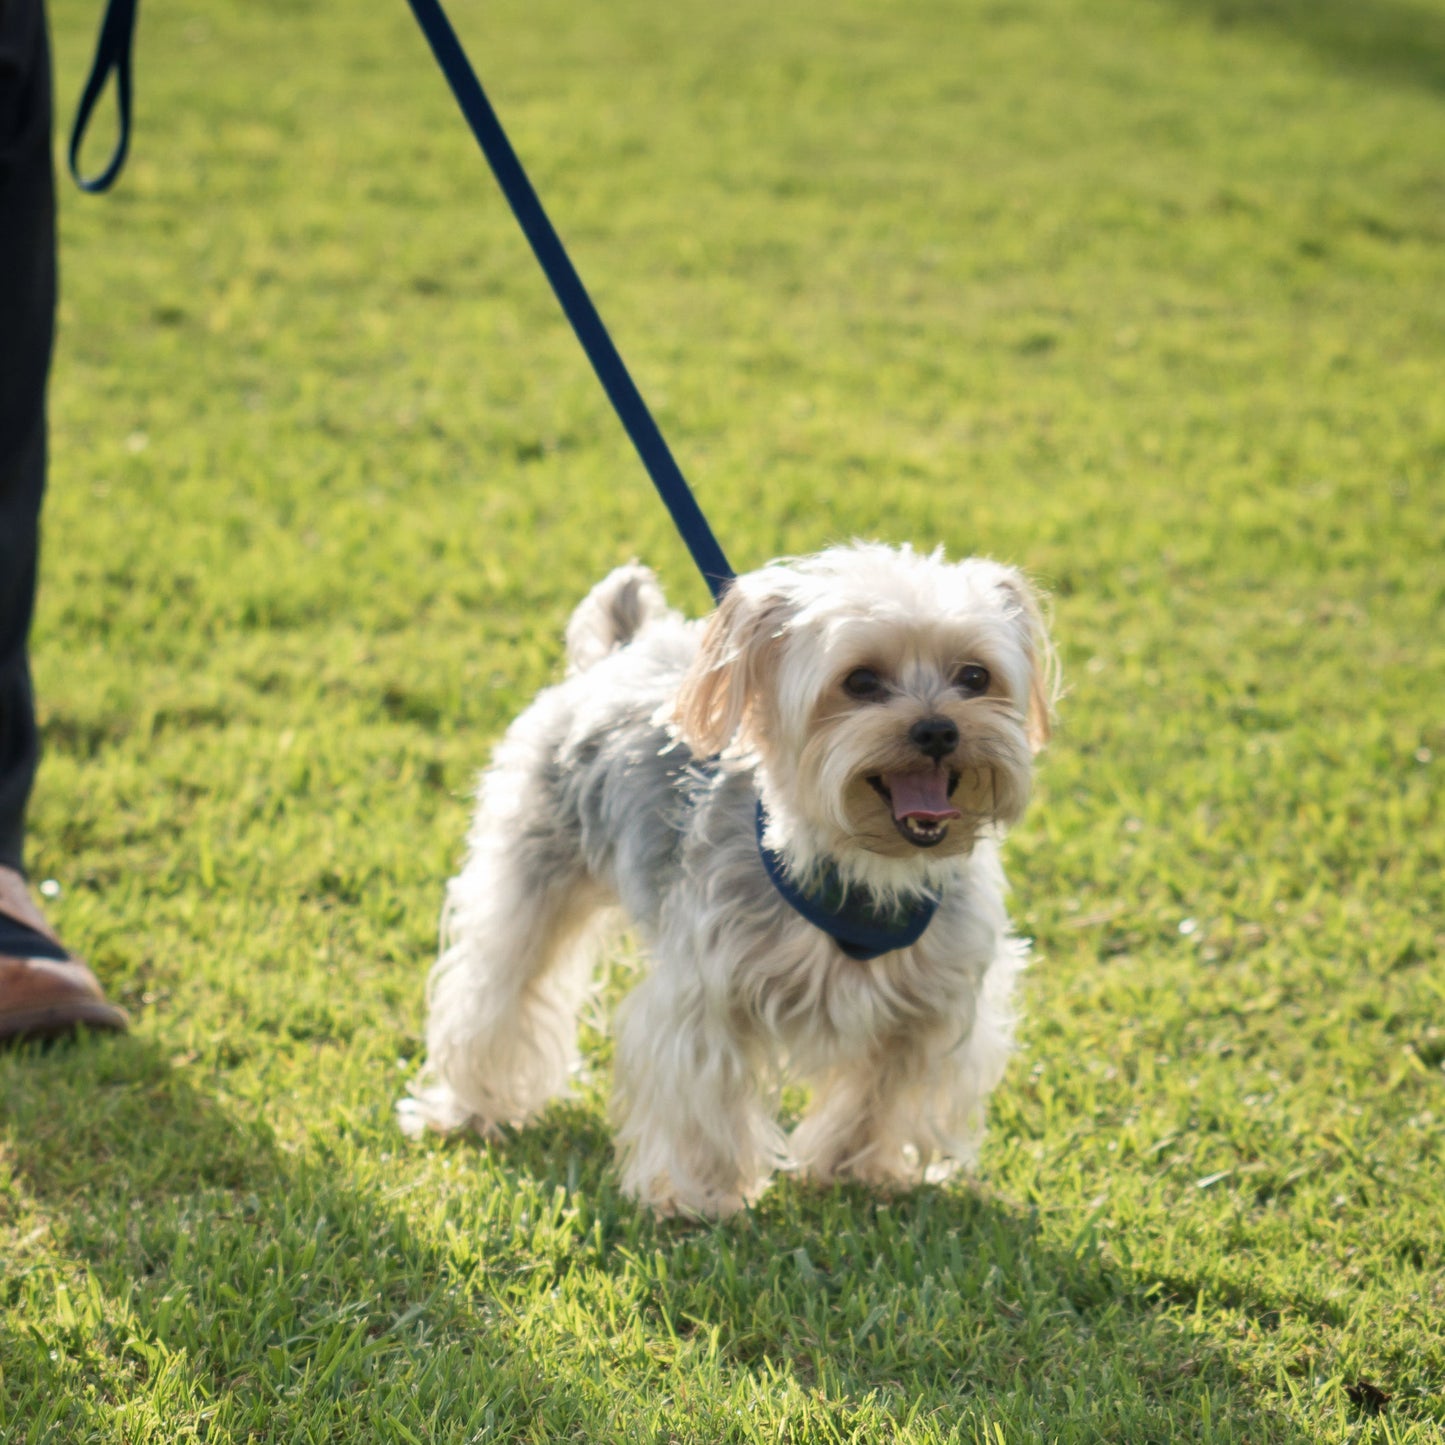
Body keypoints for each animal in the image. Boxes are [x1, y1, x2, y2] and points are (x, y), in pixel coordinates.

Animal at [401, 543, 1057, 1219]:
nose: (938, 730)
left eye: (975, 677)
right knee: (496, 988)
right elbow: (700, 1089)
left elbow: (884, 1090)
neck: (869, 868)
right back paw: (470, 1108)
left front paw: (859, 1171)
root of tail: (623, 648)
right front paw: (697, 1196)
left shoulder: (931, 1002)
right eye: (860, 681)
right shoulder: (708, 990)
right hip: (530, 868)